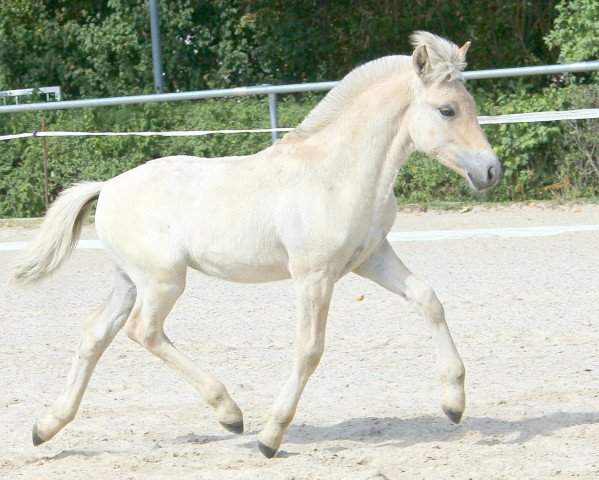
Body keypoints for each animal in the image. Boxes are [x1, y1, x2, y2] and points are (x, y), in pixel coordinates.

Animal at [12, 31, 502, 460]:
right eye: (446, 110)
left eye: (471, 106)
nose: (491, 171)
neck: (338, 171)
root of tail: (107, 187)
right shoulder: (314, 275)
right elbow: (309, 349)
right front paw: (271, 437)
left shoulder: (370, 259)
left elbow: (428, 299)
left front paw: (454, 404)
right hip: (163, 280)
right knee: (143, 331)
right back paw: (230, 414)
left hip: (130, 281)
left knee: (97, 333)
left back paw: (45, 427)